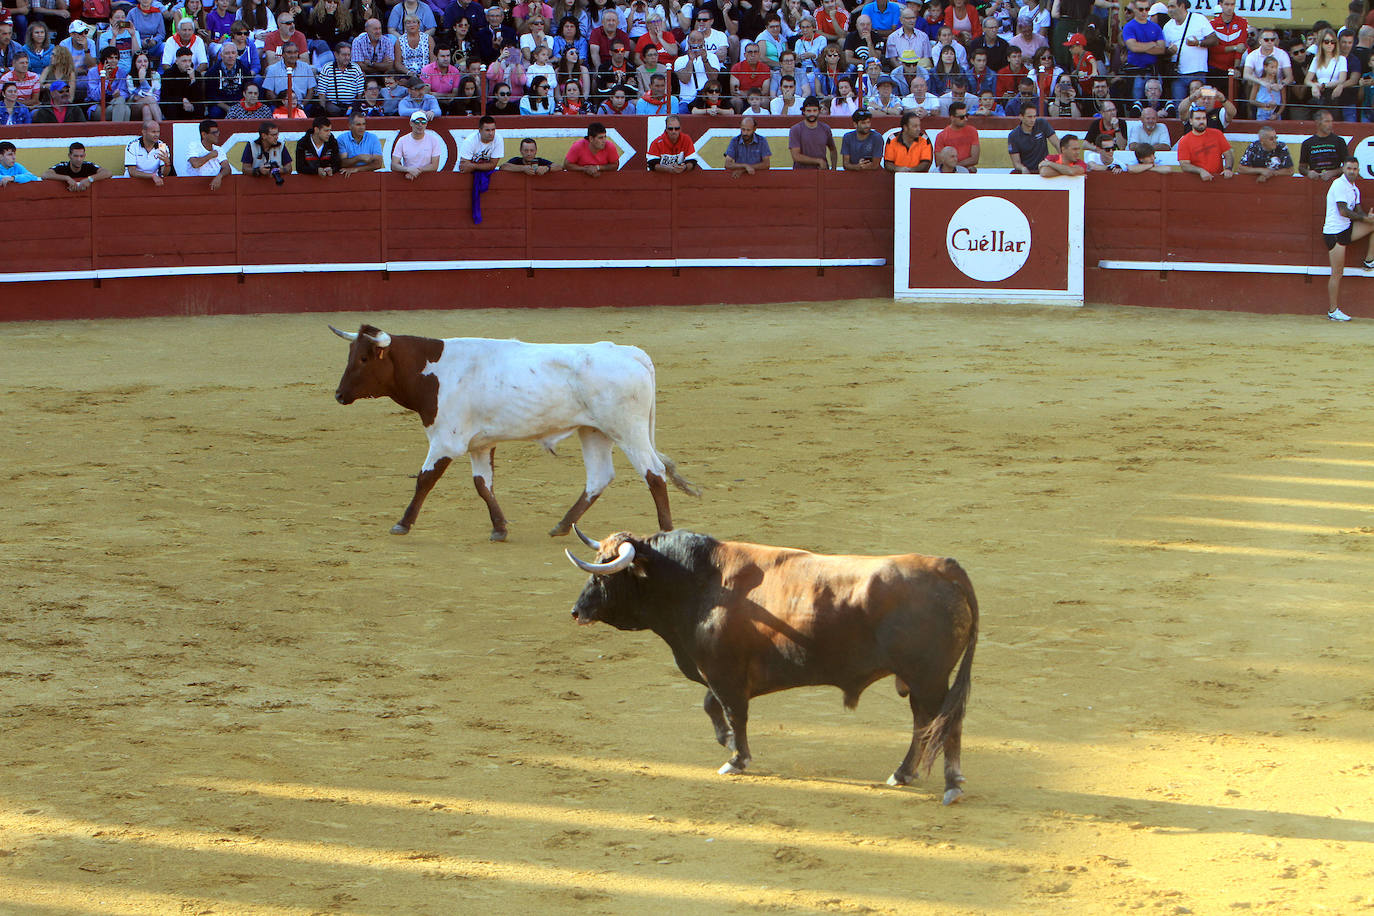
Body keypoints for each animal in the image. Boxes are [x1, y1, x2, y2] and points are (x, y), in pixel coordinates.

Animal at [329, 325, 697, 541]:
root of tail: (631, 352)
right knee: (599, 477)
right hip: (594, 431)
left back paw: (666, 532)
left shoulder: (447, 441)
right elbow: (482, 484)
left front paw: (403, 523)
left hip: (628, 430)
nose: (339, 395)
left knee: (654, 473)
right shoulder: (480, 444)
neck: (435, 370)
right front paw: (499, 527)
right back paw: (562, 525)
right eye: (350, 355)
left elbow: (425, 478)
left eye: (364, 359)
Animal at [566, 530, 978, 802]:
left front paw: (737, 759)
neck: (699, 585)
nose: (576, 611)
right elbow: (712, 705)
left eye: (604, 572)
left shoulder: (724, 672)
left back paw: (950, 784)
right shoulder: (722, 675)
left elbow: (734, 712)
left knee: (946, 723)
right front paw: (728, 742)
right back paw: (905, 774)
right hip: (921, 680)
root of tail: (944, 567)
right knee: (926, 723)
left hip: (928, 678)